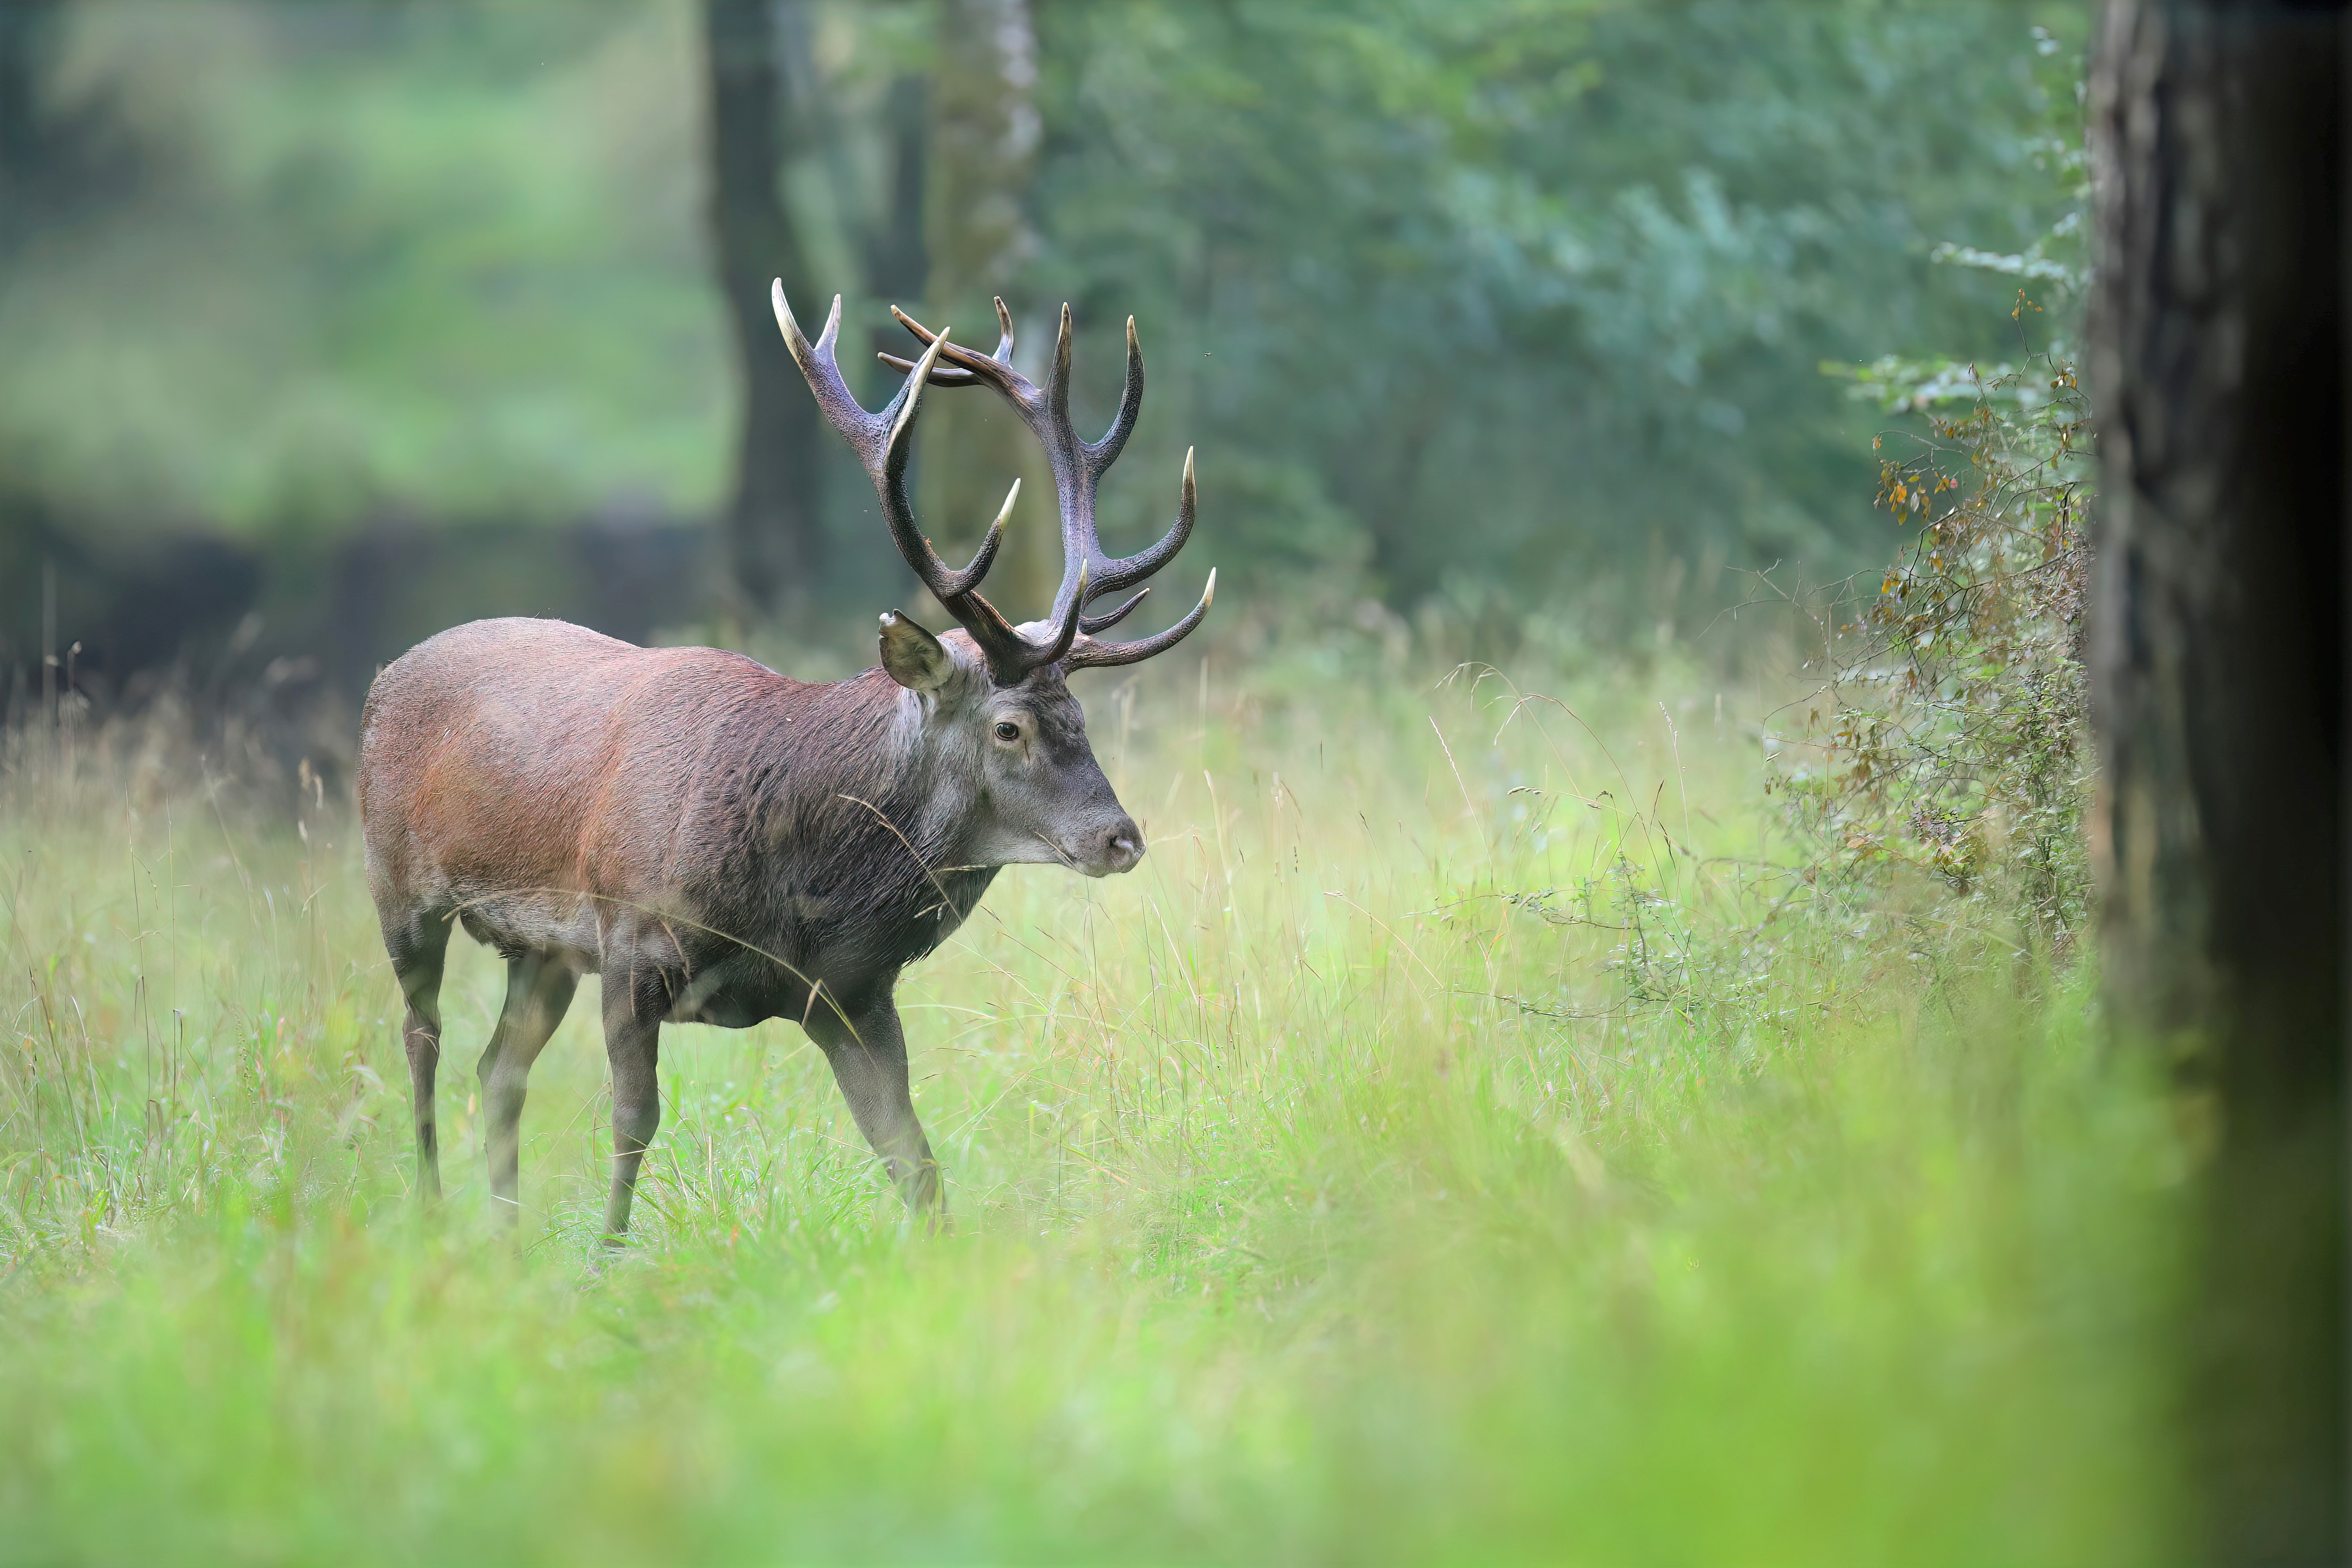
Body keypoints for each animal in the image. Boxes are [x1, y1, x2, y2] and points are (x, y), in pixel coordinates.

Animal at [355, 284, 1212, 1237]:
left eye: (1081, 715)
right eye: (1009, 728)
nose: (1120, 838)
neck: (794, 887)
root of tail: (387, 674)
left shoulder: (849, 991)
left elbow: (910, 1153)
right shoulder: (631, 941)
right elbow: (633, 1120)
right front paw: (605, 1257)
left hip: (535, 952)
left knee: (498, 1069)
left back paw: (503, 1237)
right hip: (401, 887)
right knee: (422, 1040)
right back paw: (433, 1213)